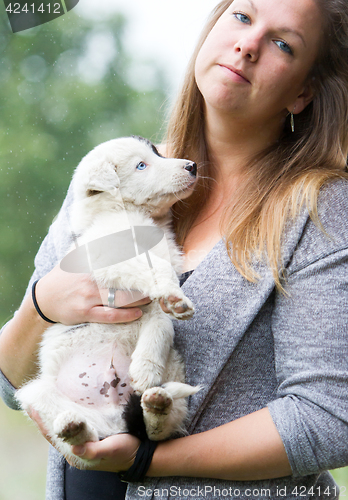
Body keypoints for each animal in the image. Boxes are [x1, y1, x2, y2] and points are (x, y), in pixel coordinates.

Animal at [16, 135, 200, 466]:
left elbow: (162, 323)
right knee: (83, 446)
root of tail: (114, 419)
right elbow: (155, 267)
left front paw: (146, 366)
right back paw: (74, 426)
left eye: (158, 154)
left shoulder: (150, 303)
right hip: (36, 393)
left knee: (158, 429)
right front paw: (174, 298)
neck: (130, 217)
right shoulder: (111, 259)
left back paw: (156, 403)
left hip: (174, 377)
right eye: (141, 165)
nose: (192, 166)